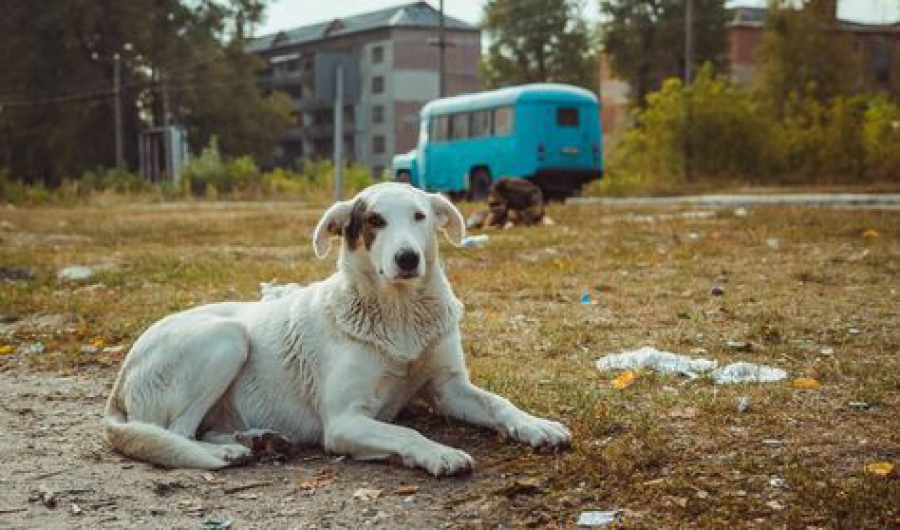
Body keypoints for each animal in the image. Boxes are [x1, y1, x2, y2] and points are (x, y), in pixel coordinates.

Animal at [105, 182, 568, 474]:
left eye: (419, 216)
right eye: (375, 221)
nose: (407, 258)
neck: (399, 313)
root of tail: (122, 376)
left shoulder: (449, 387)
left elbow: (499, 403)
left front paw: (536, 425)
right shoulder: (345, 421)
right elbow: (406, 430)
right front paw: (438, 452)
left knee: (204, 428)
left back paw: (259, 440)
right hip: (227, 338)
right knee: (176, 432)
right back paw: (230, 453)